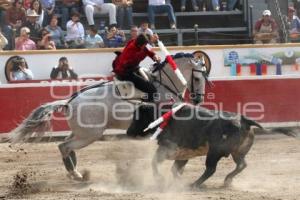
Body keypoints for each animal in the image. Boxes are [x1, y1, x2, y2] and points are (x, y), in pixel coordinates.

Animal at [8, 52, 211, 180]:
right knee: (64, 146)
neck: (164, 85)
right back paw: (76, 174)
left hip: (81, 132)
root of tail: (70, 101)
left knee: (65, 145)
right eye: (198, 78)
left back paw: (74, 172)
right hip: (90, 134)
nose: (199, 99)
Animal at [127, 105, 294, 188]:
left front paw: (160, 180)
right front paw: (178, 181)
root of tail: (243, 119)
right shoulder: (183, 154)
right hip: (237, 152)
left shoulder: (167, 149)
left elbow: (154, 162)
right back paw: (227, 181)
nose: (128, 132)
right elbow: (174, 169)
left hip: (214, 152)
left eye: (137, 117)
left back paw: (195, 184)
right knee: (242, 164)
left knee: (211, 169)